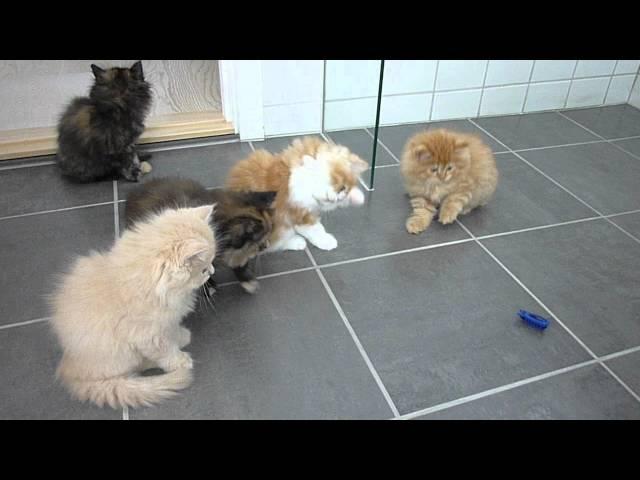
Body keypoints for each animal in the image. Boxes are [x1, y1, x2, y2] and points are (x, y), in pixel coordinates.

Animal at [49, 204, 218, 410]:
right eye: (203, 270)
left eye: (211, 264)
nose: (212, 271)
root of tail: (69, 368)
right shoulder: (148, 335)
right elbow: (166, 351)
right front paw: (179, 360)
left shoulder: (166, 323)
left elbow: (172, 332)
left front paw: (181, 336)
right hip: (122, 354)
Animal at [225, 136, 368, 251]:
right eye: (342, 187)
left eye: (346, 190)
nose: (340, 197)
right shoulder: (298, 213)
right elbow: (315, 230)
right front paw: (327, 241)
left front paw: (358, 196)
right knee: (273, 244)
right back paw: (297, 242)